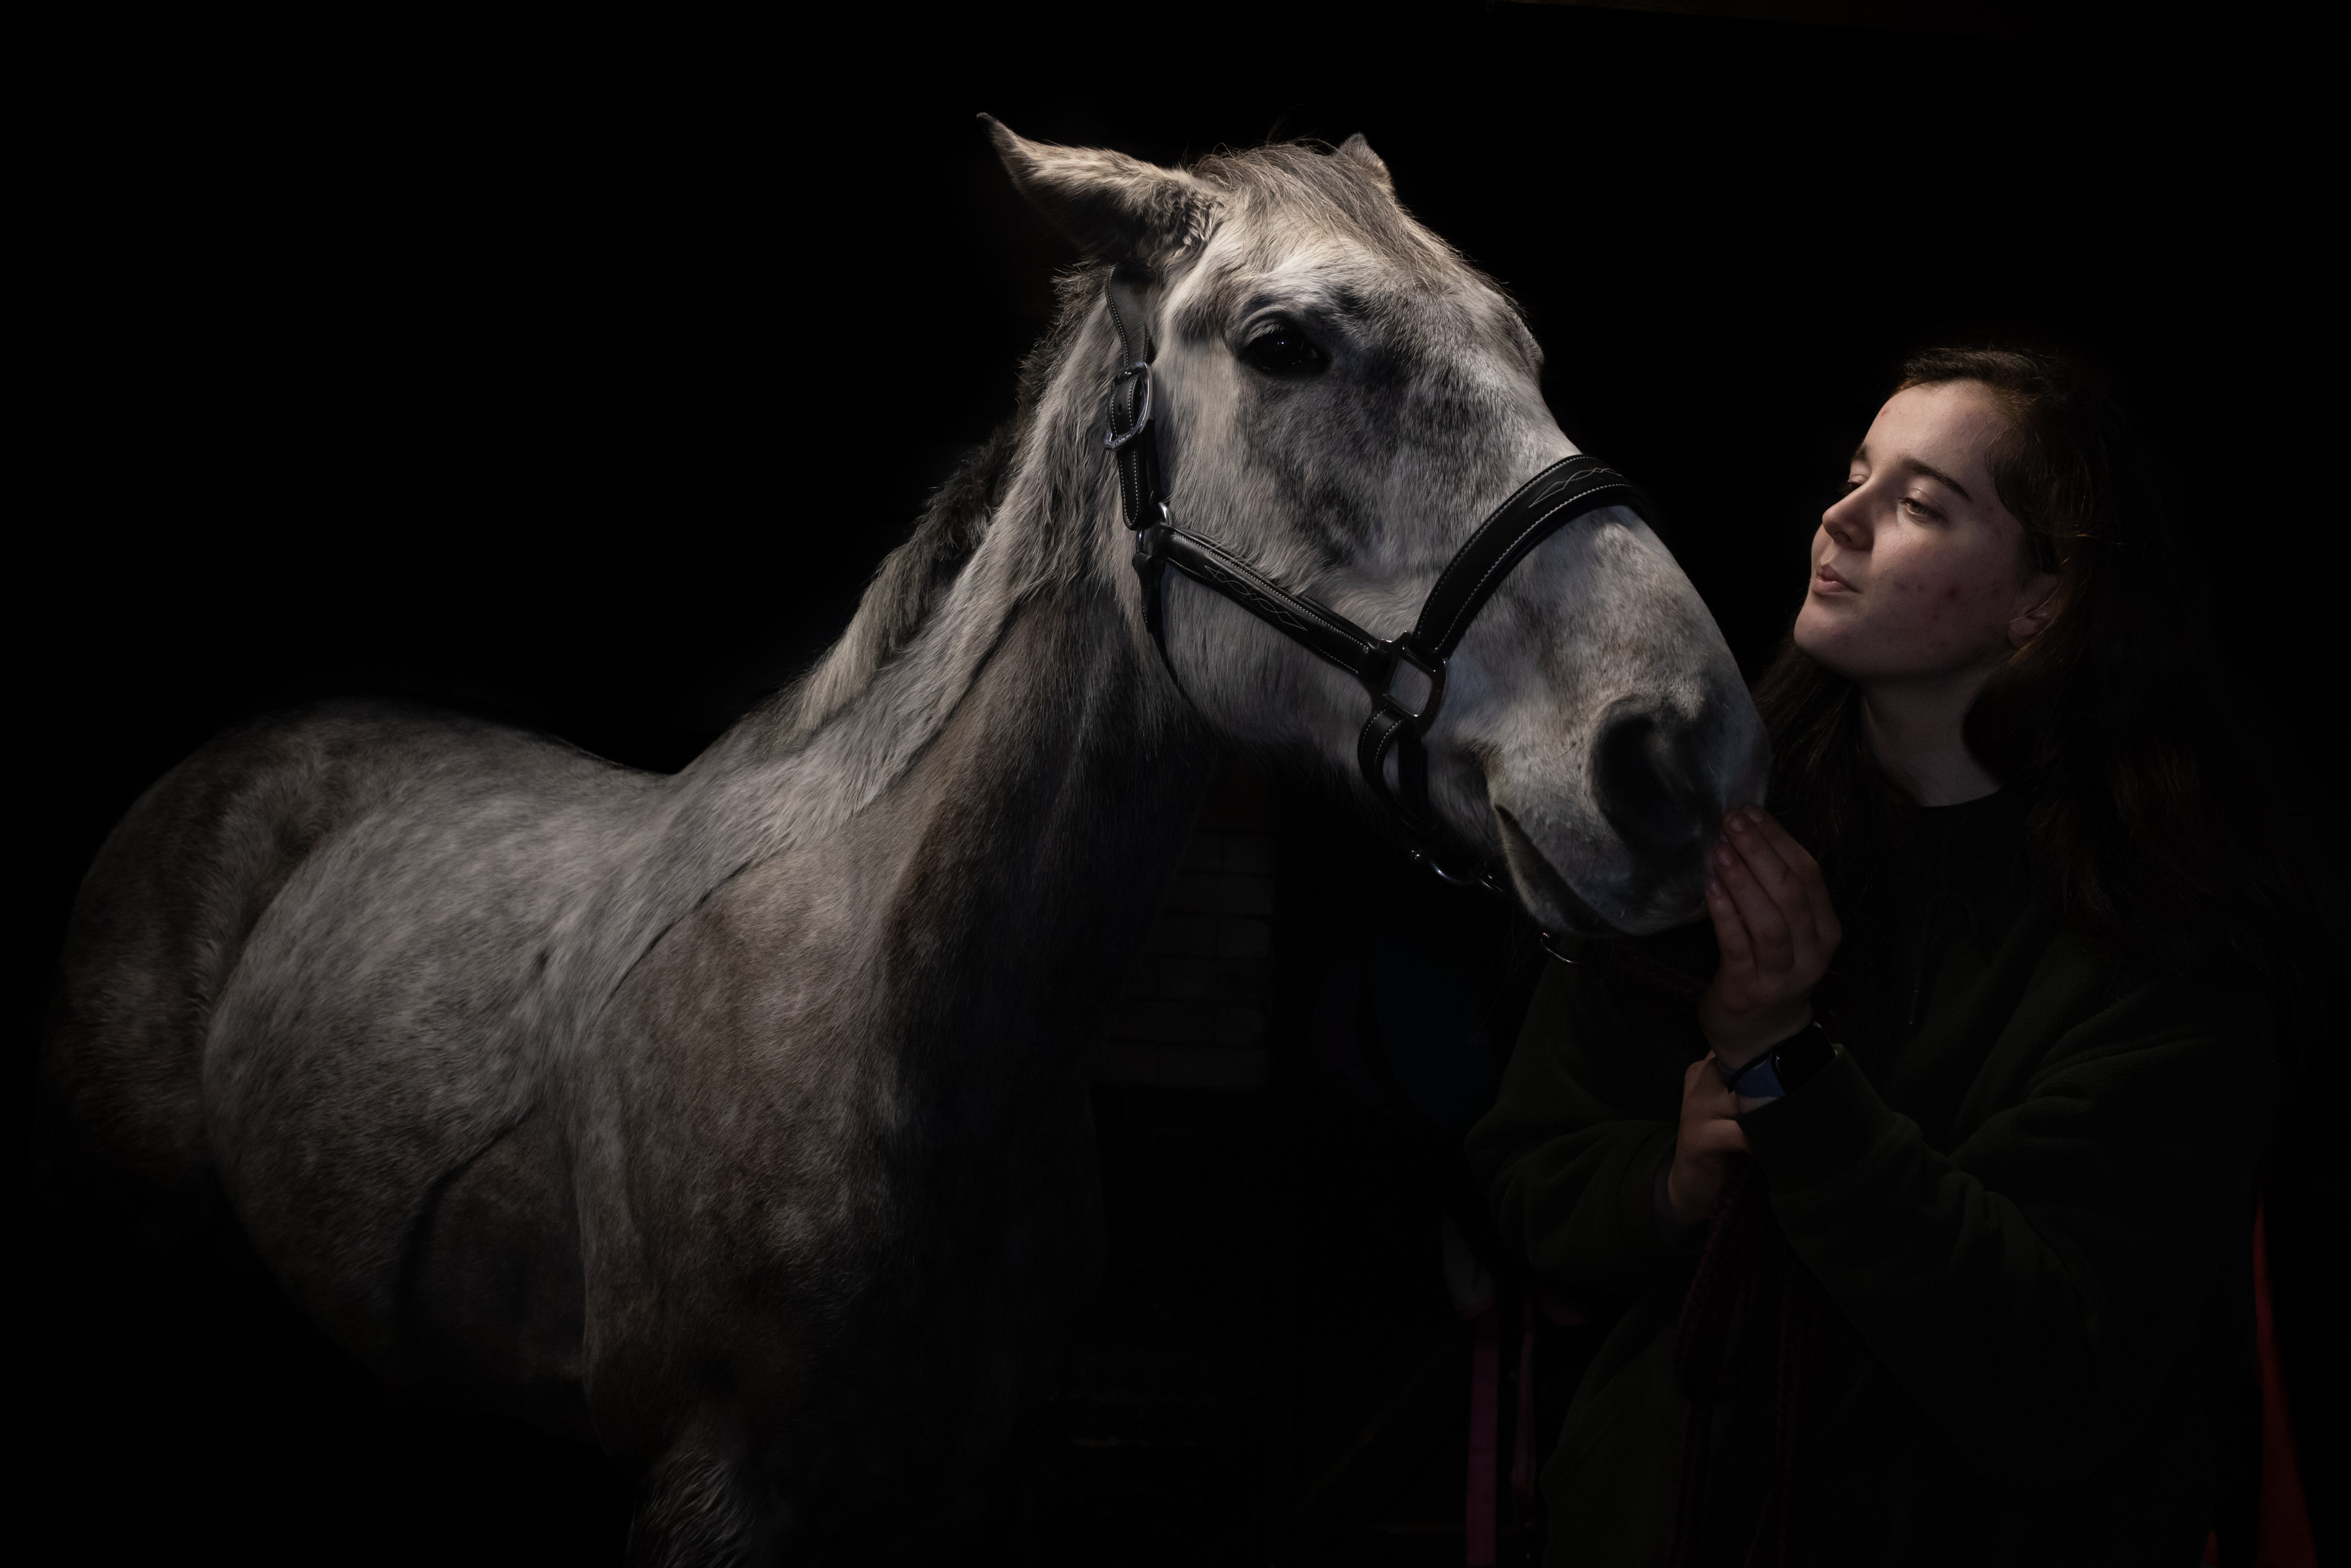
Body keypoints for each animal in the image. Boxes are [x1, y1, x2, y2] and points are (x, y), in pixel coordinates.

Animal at [36, 121, 1766, 1563]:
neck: (899, 1022)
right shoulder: (715, 1500)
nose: (1681, 750)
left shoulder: (967, 1486)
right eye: (1285, 344)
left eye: (1519, 344)